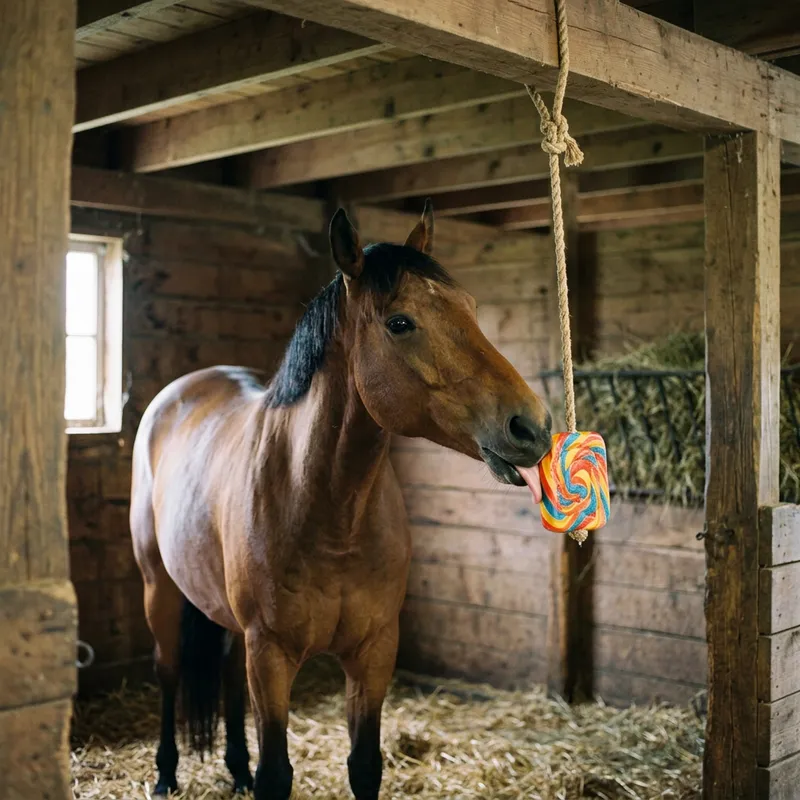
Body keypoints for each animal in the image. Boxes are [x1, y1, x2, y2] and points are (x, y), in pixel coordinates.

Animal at [129, 201, 552, 800]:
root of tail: (181, 391)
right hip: (160, 589)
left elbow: (365, 764)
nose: (532, 427)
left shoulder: (374, 651)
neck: (331, 515)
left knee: (228, 677)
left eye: (470, 307)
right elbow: (276, 774)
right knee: (167, 671)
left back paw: (234, 766)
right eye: (400, 322)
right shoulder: (272, 655)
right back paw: (166, 772)